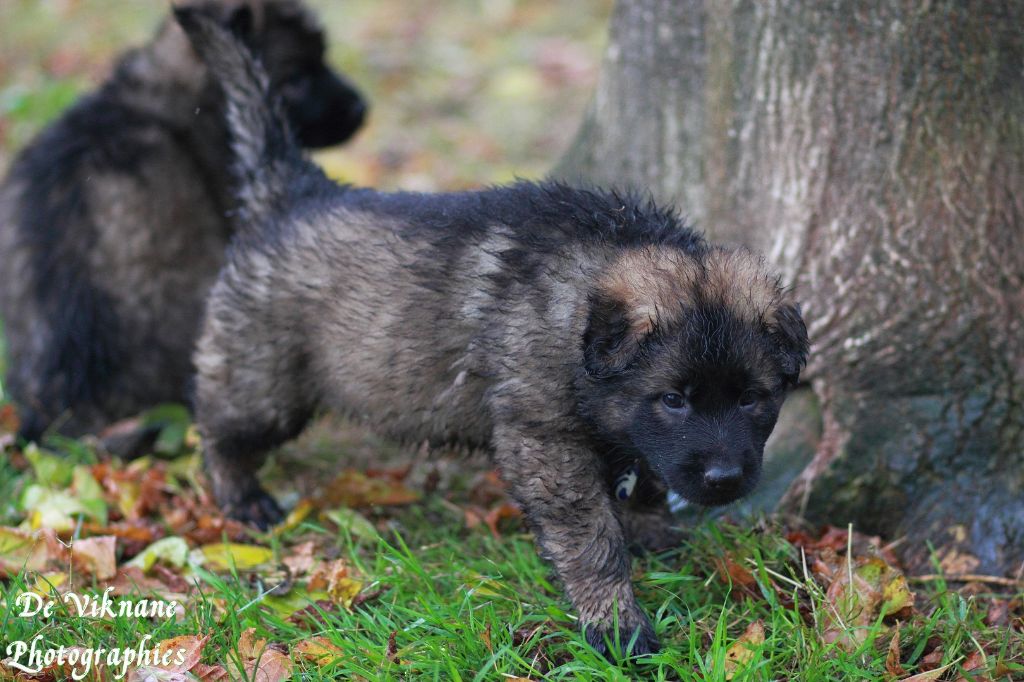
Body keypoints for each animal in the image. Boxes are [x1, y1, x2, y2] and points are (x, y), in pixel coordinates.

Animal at [178, 9, 808, 656]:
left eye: (753, 398)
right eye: (674, 399)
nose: (725, 480)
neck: (577, 310)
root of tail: (293, 191)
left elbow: (648, 478)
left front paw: (657, 536)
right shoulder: (544, 441)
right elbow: (591, 535)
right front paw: (615, 622)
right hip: (264, 379)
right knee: (218, 424)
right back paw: (241, 497)